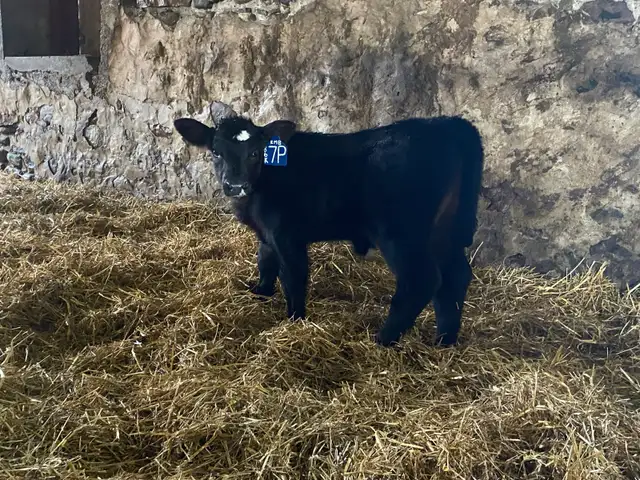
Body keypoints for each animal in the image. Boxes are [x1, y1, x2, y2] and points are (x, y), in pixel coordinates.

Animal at [174, 101, 484, 347]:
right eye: (216, 151)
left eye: (255, 152)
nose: (235, 185)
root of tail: (447, 124)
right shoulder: (267, 234)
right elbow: (265, 262)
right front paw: (260, 291)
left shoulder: (287, 236)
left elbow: (293, 277)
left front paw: (294, 320)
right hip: (443, 229)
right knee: (455, 277)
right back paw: (444, 340)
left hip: (402, 233)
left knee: (420, 280)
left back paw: (383, 339)